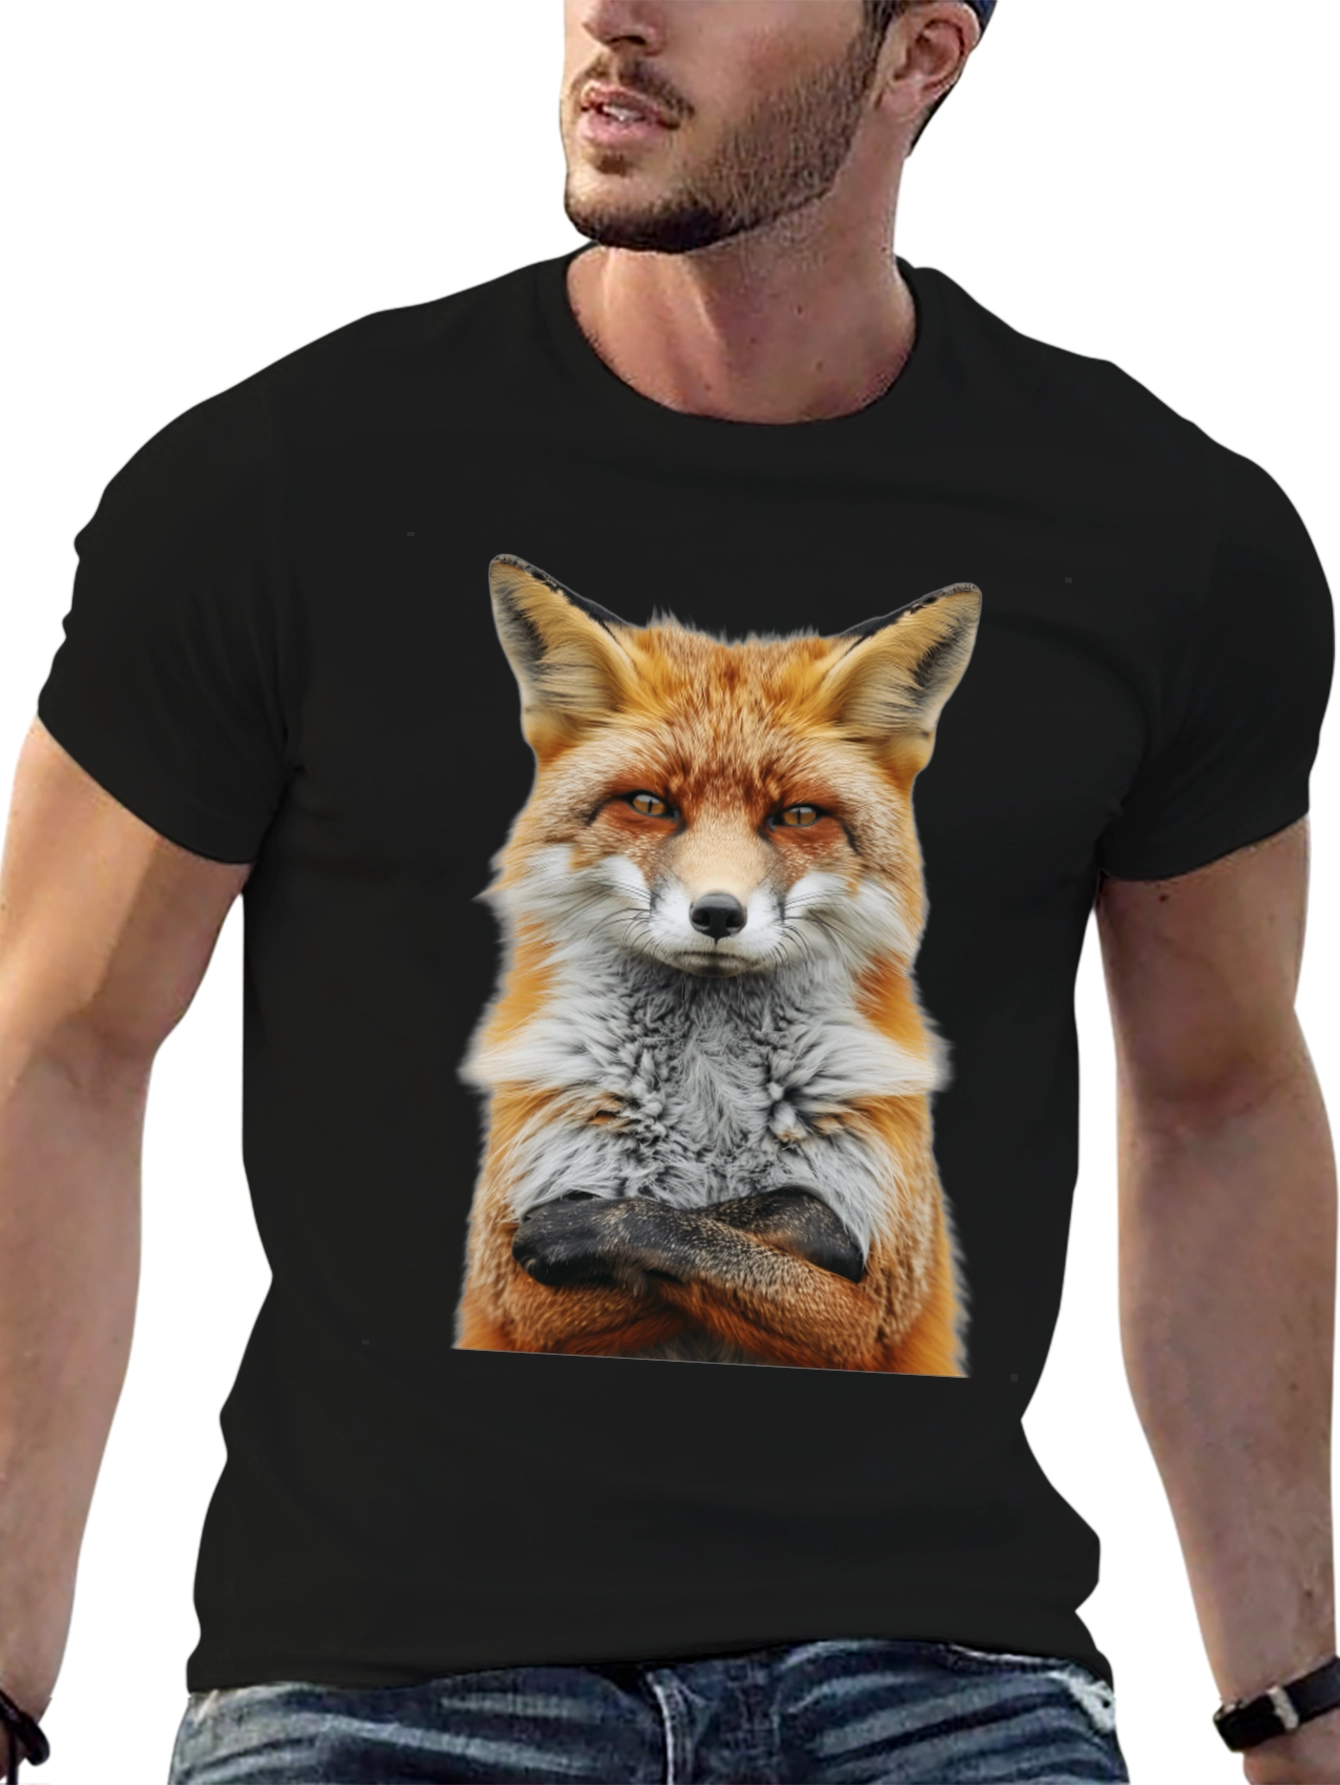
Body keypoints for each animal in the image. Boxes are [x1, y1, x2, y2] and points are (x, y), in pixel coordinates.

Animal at [455, 553, 981, 1374]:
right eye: (649, 804)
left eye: (797, 815)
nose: (718, 915)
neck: (709, 1100)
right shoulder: (517, 1294)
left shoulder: (877, 1301)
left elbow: (721, 1231)